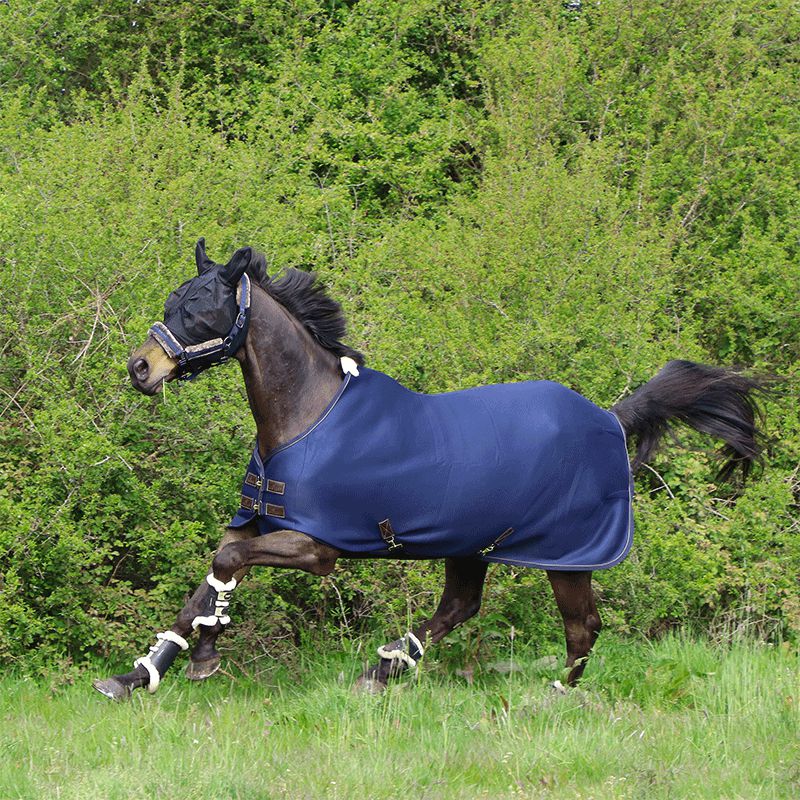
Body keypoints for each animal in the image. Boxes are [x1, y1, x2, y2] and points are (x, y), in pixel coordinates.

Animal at [93, 240, 766, 700]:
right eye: (173, 302)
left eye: (202, 308)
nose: (140, 368)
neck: (307, 414)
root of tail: (610, 417)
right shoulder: (254, 524)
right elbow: (208, 581)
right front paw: (137, 675)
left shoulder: (315, 546)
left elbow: (226, 566)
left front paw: (204, 655)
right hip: (472, 544)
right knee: (460, 607)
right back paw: (385, 667)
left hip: (566, 555)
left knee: (582, 626)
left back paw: (552, 697)